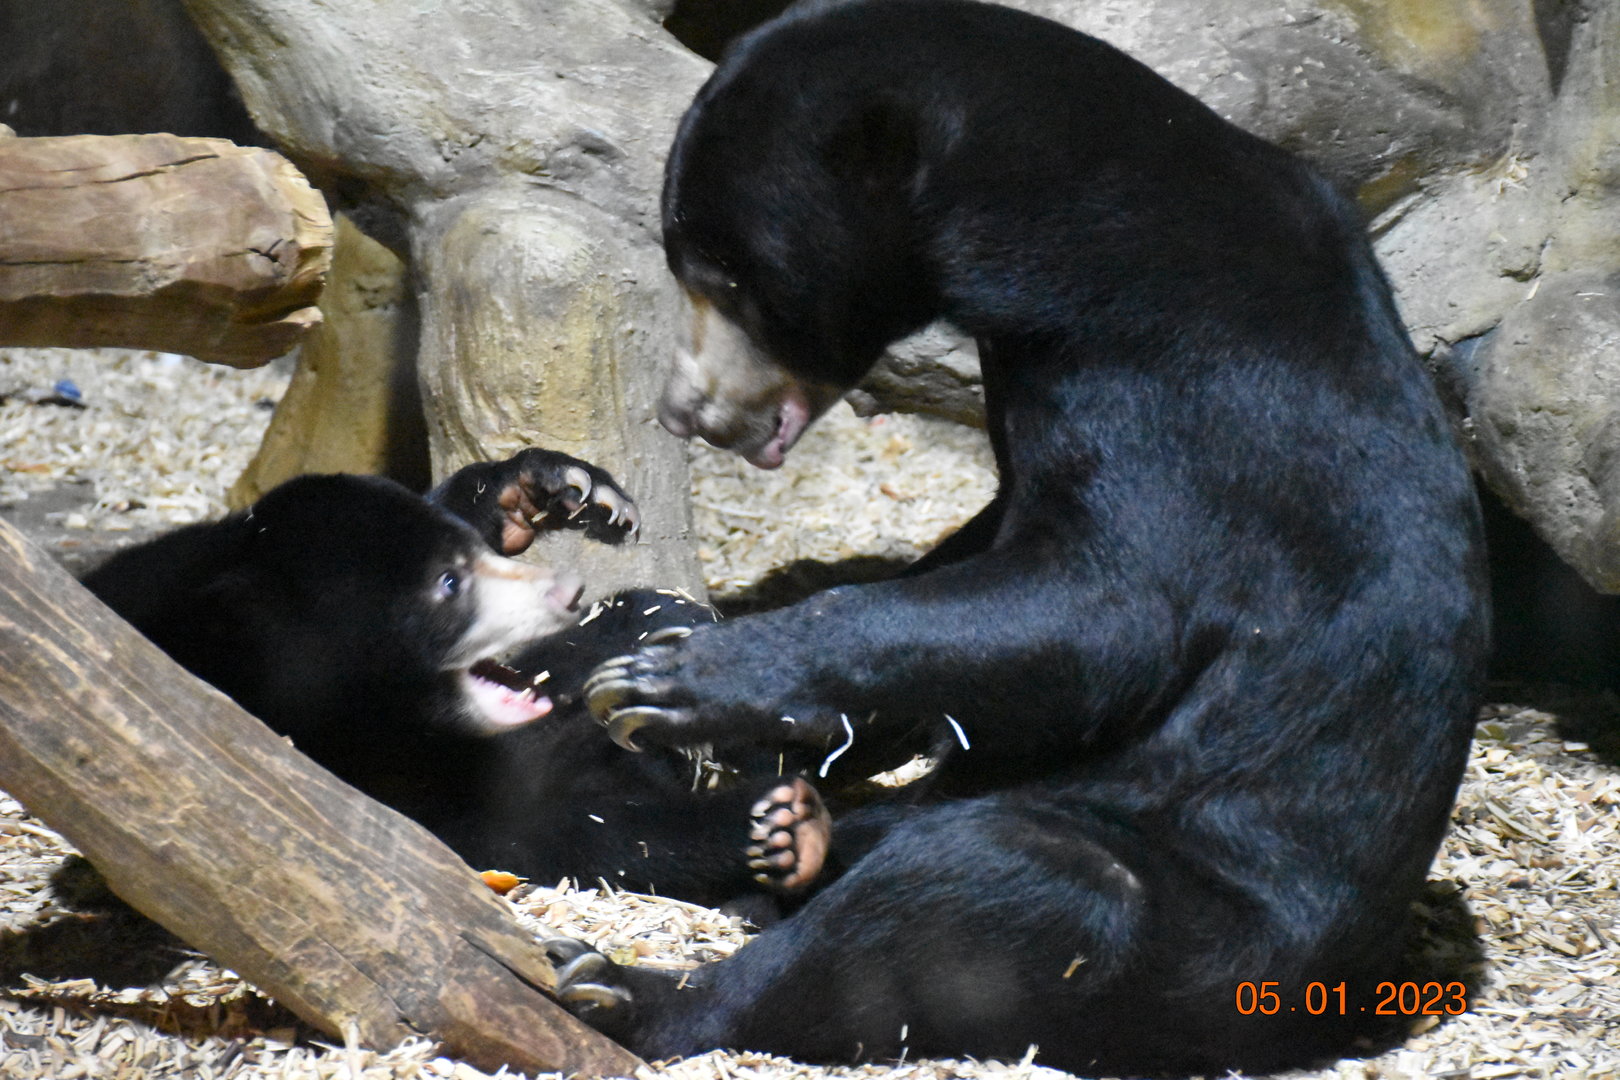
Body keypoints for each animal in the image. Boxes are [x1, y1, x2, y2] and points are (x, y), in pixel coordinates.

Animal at [82, 448, 829, 908]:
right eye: (448, 584)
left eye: (465, 558)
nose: (568, 591)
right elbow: (539, 836)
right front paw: (771, 826)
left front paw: (556, 490)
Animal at [552, 1, 1492, 1075]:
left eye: (727, 277)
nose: (686, 411)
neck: (1046, 240)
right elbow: (993, 543)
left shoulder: (1176, 386)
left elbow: (1106, 605)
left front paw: (669, 680)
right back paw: (797, 839)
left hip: (1194, 926)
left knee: (1001, 881)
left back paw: (628, 987)